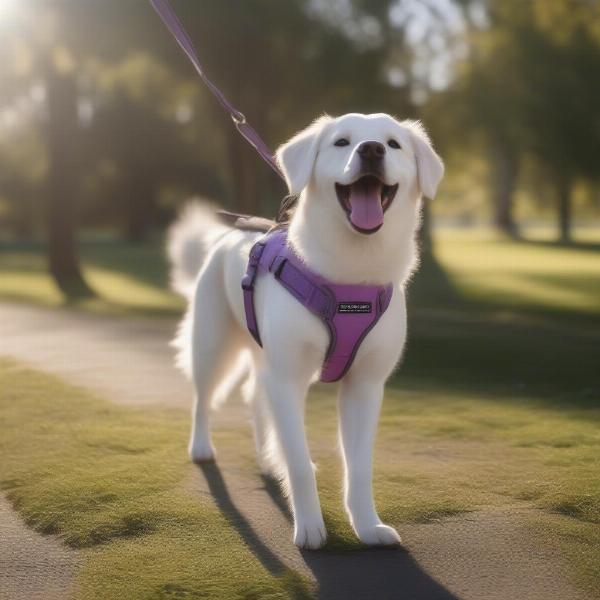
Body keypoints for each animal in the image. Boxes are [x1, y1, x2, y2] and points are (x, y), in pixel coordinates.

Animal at [166, 111, 442, 548]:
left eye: (393, 143)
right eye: (342, 142)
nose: (371, 150)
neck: (349, 276)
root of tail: (229, 235)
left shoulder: (365, 386)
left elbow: (360, 467)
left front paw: (368, 525)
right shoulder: (290, 378)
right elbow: (298, 459)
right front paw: (310, 526)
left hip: (263, 359)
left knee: (254, 395)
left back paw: (266, 457)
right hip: (212, 345)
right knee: (203, 398)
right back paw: (202, 447)